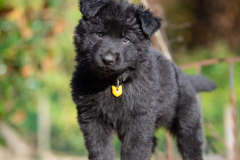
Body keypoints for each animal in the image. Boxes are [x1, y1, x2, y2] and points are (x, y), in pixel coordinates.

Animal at [70, 0, 217, 159]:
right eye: (100, 34)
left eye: (126, 39)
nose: (108, 60)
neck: (113, 82)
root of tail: (186, 78)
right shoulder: (92, 118)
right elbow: (99, 149)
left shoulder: (139, 118)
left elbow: (134, 150)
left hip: (187, 123)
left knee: (191, 147)